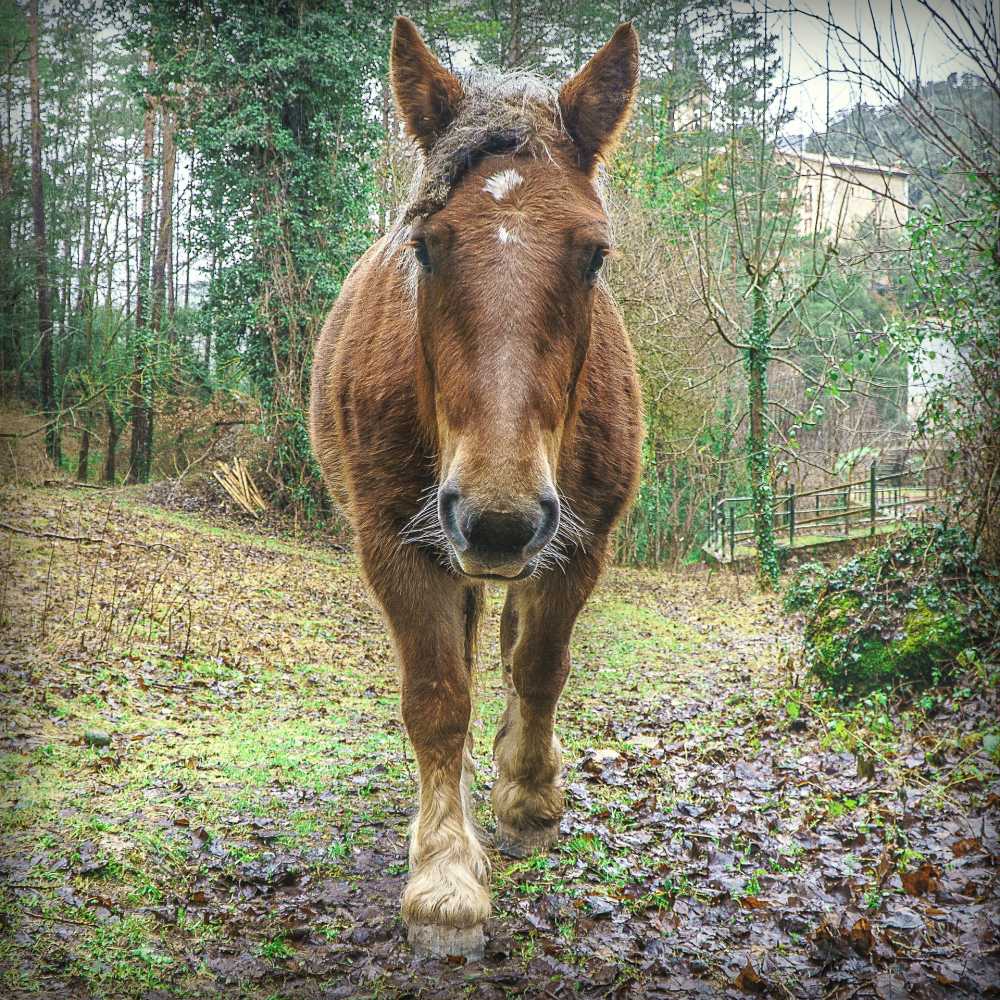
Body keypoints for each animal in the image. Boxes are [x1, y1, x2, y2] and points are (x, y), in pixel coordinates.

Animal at [308, 17, 644, 960]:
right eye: (424, 246)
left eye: (593, 256)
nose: (497, 523)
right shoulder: (395, 545)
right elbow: (437, 696)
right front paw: (445, 877)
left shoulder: (579, 544)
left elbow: (538, 664)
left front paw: (528, 796)